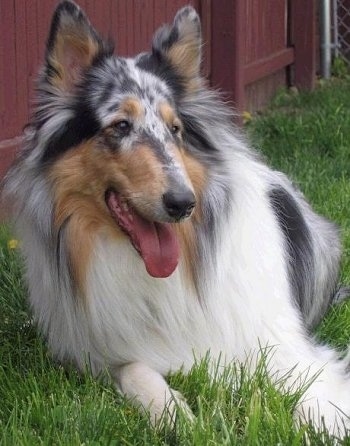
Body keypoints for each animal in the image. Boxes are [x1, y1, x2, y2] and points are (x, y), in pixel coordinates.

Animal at [4, 0, 350, 438]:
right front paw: (174, 415)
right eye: (120, 125)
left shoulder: (287, 347)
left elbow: (316, 396)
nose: (184, 203)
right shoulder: (104, 354)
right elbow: (138, 371)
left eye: (175, 129)